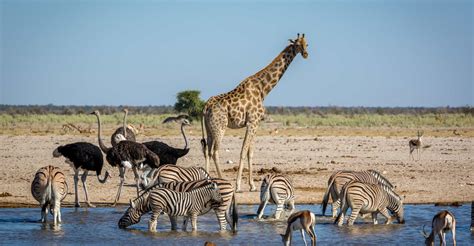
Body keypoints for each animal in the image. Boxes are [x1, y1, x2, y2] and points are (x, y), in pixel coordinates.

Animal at [201, 34, 310, 192]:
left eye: (307, 44)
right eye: (297, 44)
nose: (306, 54)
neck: (263, 89)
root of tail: (205, 107)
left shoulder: (255, 124)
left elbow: (250, 153)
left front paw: (252, 185)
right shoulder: (252, 122)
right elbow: (243, 151)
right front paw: (238, 185)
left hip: (209, 129)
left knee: (207, 151)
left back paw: (208, 180)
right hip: (220, 127)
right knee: (214, 151)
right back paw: (222, 180)